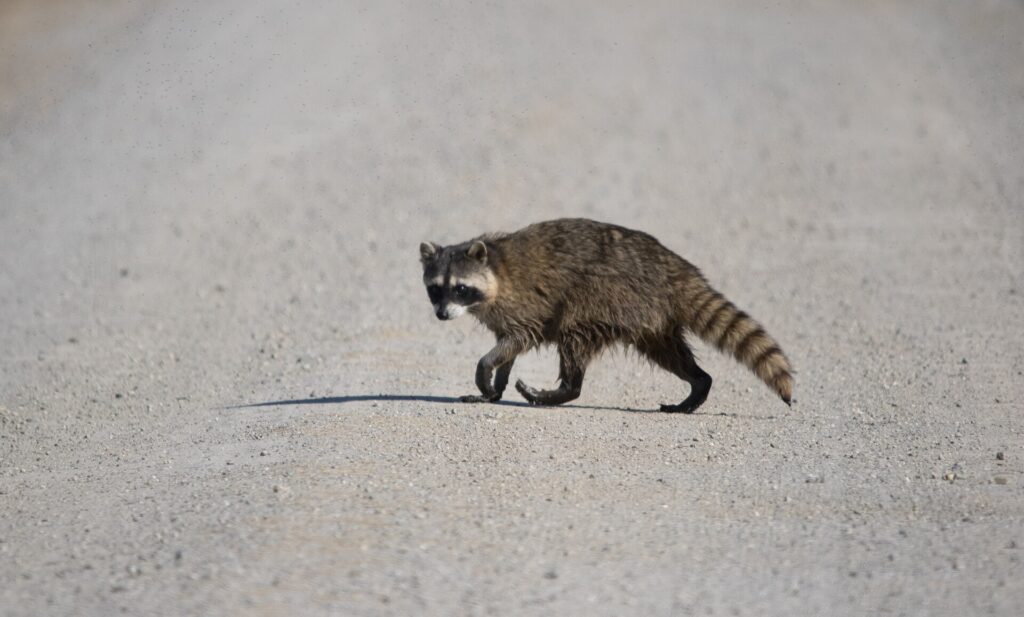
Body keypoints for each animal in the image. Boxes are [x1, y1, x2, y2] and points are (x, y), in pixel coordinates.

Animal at [419, 218, 792, 413]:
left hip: (608, 295)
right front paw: (495, 387)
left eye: (460, 288)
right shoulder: (501, 315)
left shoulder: (525, 305)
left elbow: (518, 340)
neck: (496, 268)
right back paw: (698, 384)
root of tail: (675, 268)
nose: (441, 315)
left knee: (574, 332)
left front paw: (486, 371)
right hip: (651, 318)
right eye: (436, 289)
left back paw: (563, 390)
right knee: (669, 353)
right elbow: (507, 349)